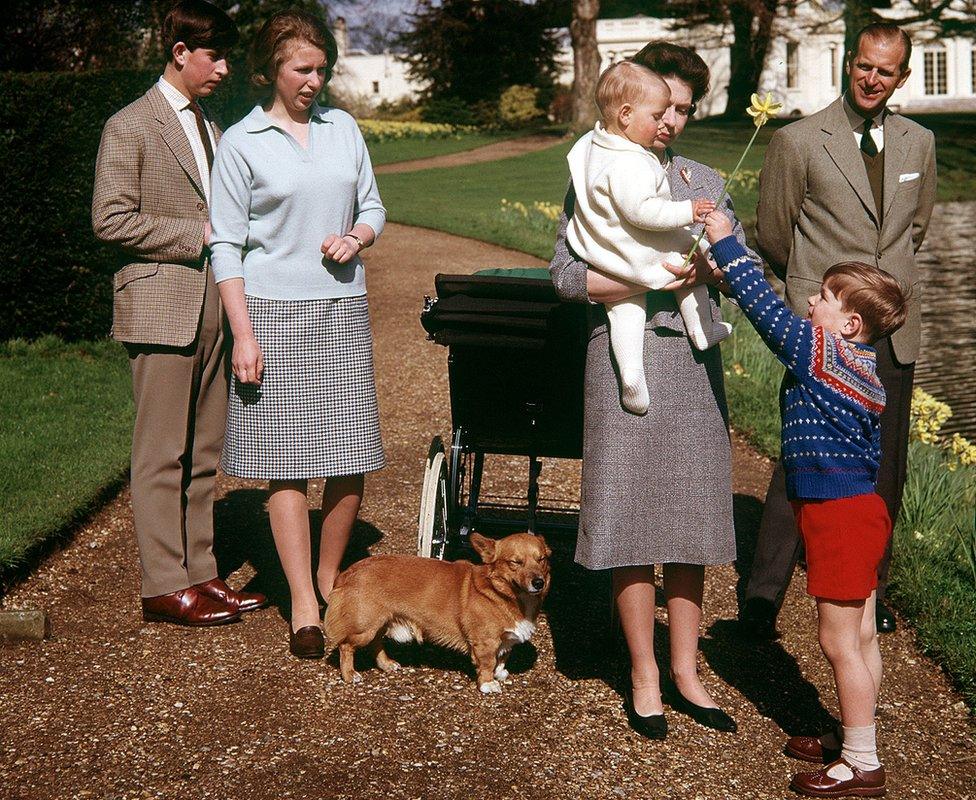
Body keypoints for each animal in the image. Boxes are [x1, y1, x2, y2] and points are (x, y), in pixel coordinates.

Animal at [326, 532, 548, 692]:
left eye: (542, 559)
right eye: (515, 562)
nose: (539, 582)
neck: (501, 591)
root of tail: (348, 573)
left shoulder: (505, 641)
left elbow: (502, 658)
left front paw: (500, 673)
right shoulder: (485, 642)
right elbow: (488, 663)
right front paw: (488, 684)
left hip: (380, 623)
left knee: (376, 644)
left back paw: (387, 664)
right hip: (365, 628)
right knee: (346, 646)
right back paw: (350, 675)